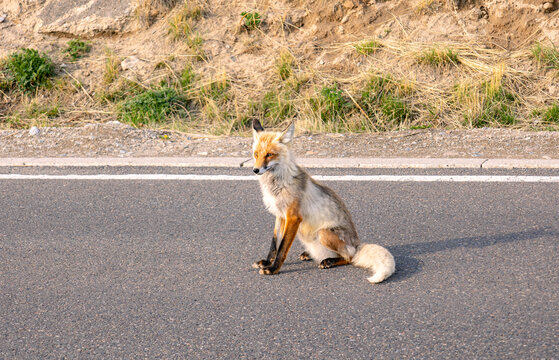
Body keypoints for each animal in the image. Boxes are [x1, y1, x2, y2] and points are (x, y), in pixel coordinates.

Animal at [252, 120, 396, 284]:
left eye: (269, 155)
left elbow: (282, 248)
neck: (277, 185)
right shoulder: (280, 215)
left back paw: (329, 261)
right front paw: (267, 262)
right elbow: (274, 243)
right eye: (256, 154)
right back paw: (310, 254)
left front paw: (273, 269)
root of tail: (357, 243)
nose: (255, 170)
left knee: (350, 257)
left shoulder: (293, 217)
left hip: (323, 233)